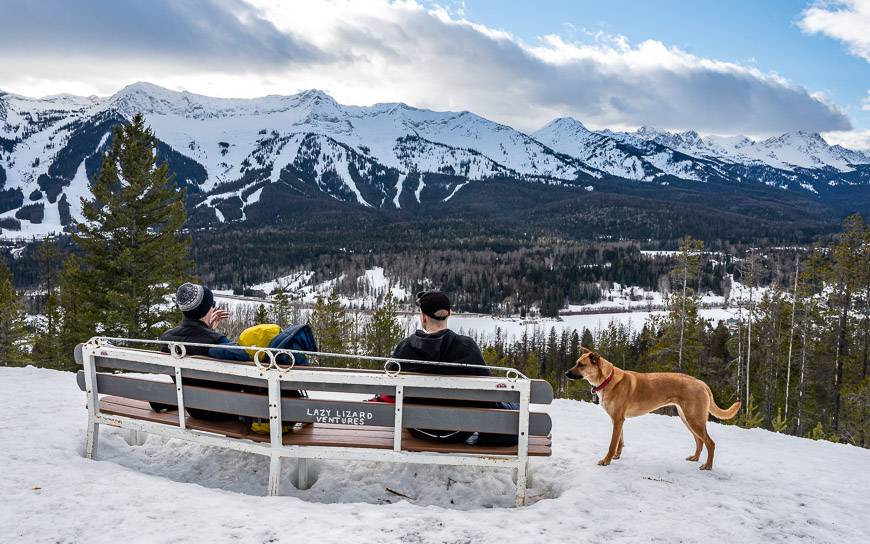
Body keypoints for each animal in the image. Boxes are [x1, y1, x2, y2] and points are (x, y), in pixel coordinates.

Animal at [564, 350, 744, 470]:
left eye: (581, 365)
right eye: (576, 362)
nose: (565, 373)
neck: (607, 379)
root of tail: (702, 383)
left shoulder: (617, 420)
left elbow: (612, 444)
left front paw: (606, 461)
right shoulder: (619, 420)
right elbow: (620, 441)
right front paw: (617, 456)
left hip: (694, 420)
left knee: (710, 443)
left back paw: (707, 465)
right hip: (688, 419)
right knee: (700, 441)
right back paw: (695, 458)